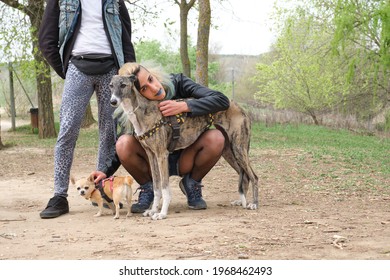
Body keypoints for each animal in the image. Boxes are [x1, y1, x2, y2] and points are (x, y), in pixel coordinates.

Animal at [109, 74, 258, 221]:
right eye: (111, 85)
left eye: (123, 85)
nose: (113, 102)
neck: (143, 110)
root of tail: (238, 106)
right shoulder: (152, 155)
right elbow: (156, 187)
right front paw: (152, 210)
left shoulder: (161, 154)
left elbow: (164, 188)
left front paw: (162, 213)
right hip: (229, 151)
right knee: (244, 175)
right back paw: (241, 201)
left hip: (239, 148)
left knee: (254, 176)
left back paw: (254, 204)